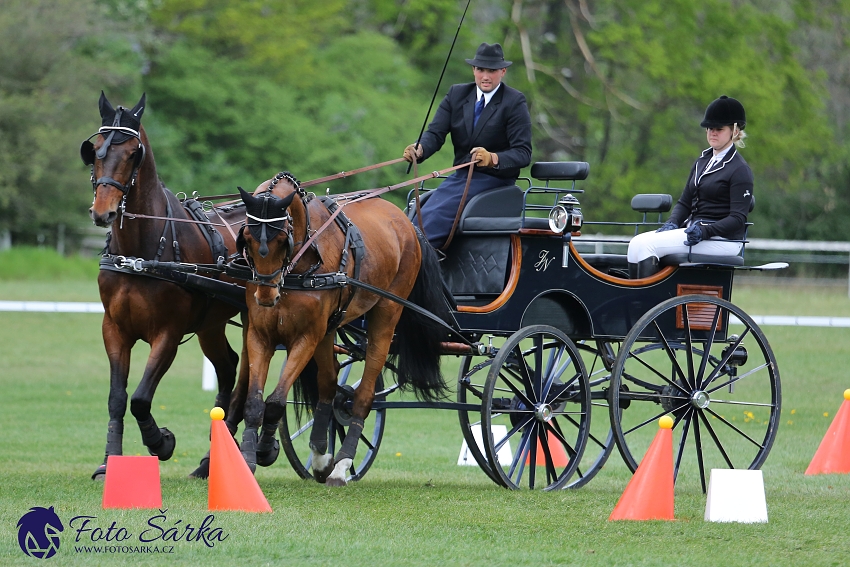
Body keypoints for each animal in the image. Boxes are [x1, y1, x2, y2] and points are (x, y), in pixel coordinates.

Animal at [82, 92, 247, 480]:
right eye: (95, 149)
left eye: (133, 153)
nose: (103, 212)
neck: (140, 254)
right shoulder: (114, 328)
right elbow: (117, 398)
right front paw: (109, 462)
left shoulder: (167, 334)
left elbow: (141, 398)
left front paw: (162, 442)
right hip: (211, 324)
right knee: (228, 367)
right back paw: (211, 459)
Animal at [235, 171, 448, 486]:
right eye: (247, 239)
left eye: (282, 240)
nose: (265, 296)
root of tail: (407, 224)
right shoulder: (260, 335)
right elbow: (254, 402)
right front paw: (249, 457)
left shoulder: (306, 337)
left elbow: (275, 401)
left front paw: (264, 449)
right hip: (329, 331)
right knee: (329, 385)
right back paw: (322, 457)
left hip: (385, 315)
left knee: (363, 395)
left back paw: (341, 465)